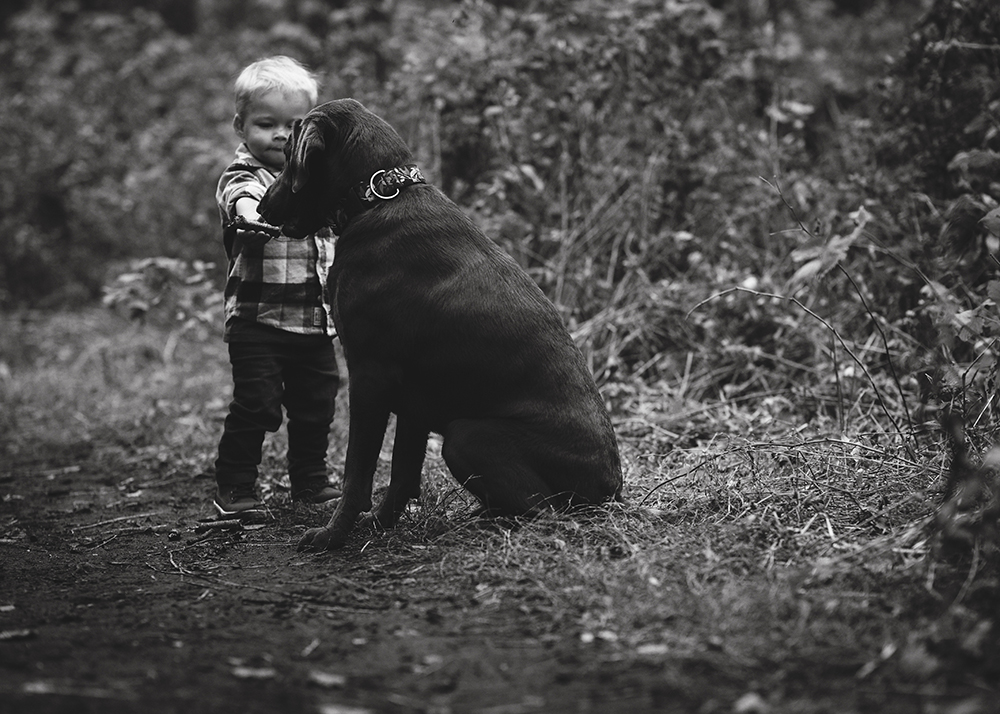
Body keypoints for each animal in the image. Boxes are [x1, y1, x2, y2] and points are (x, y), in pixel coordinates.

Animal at [260, 97, 616, 552]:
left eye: (288, 154)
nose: (263, 206)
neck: (378, 197)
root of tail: (611, 488)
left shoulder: (369, 376)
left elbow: (358, 472)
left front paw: (332, 535)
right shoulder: (415, 398)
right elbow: (400, 475)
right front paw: (379, 525)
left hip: (467, 437)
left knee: (547, 512)